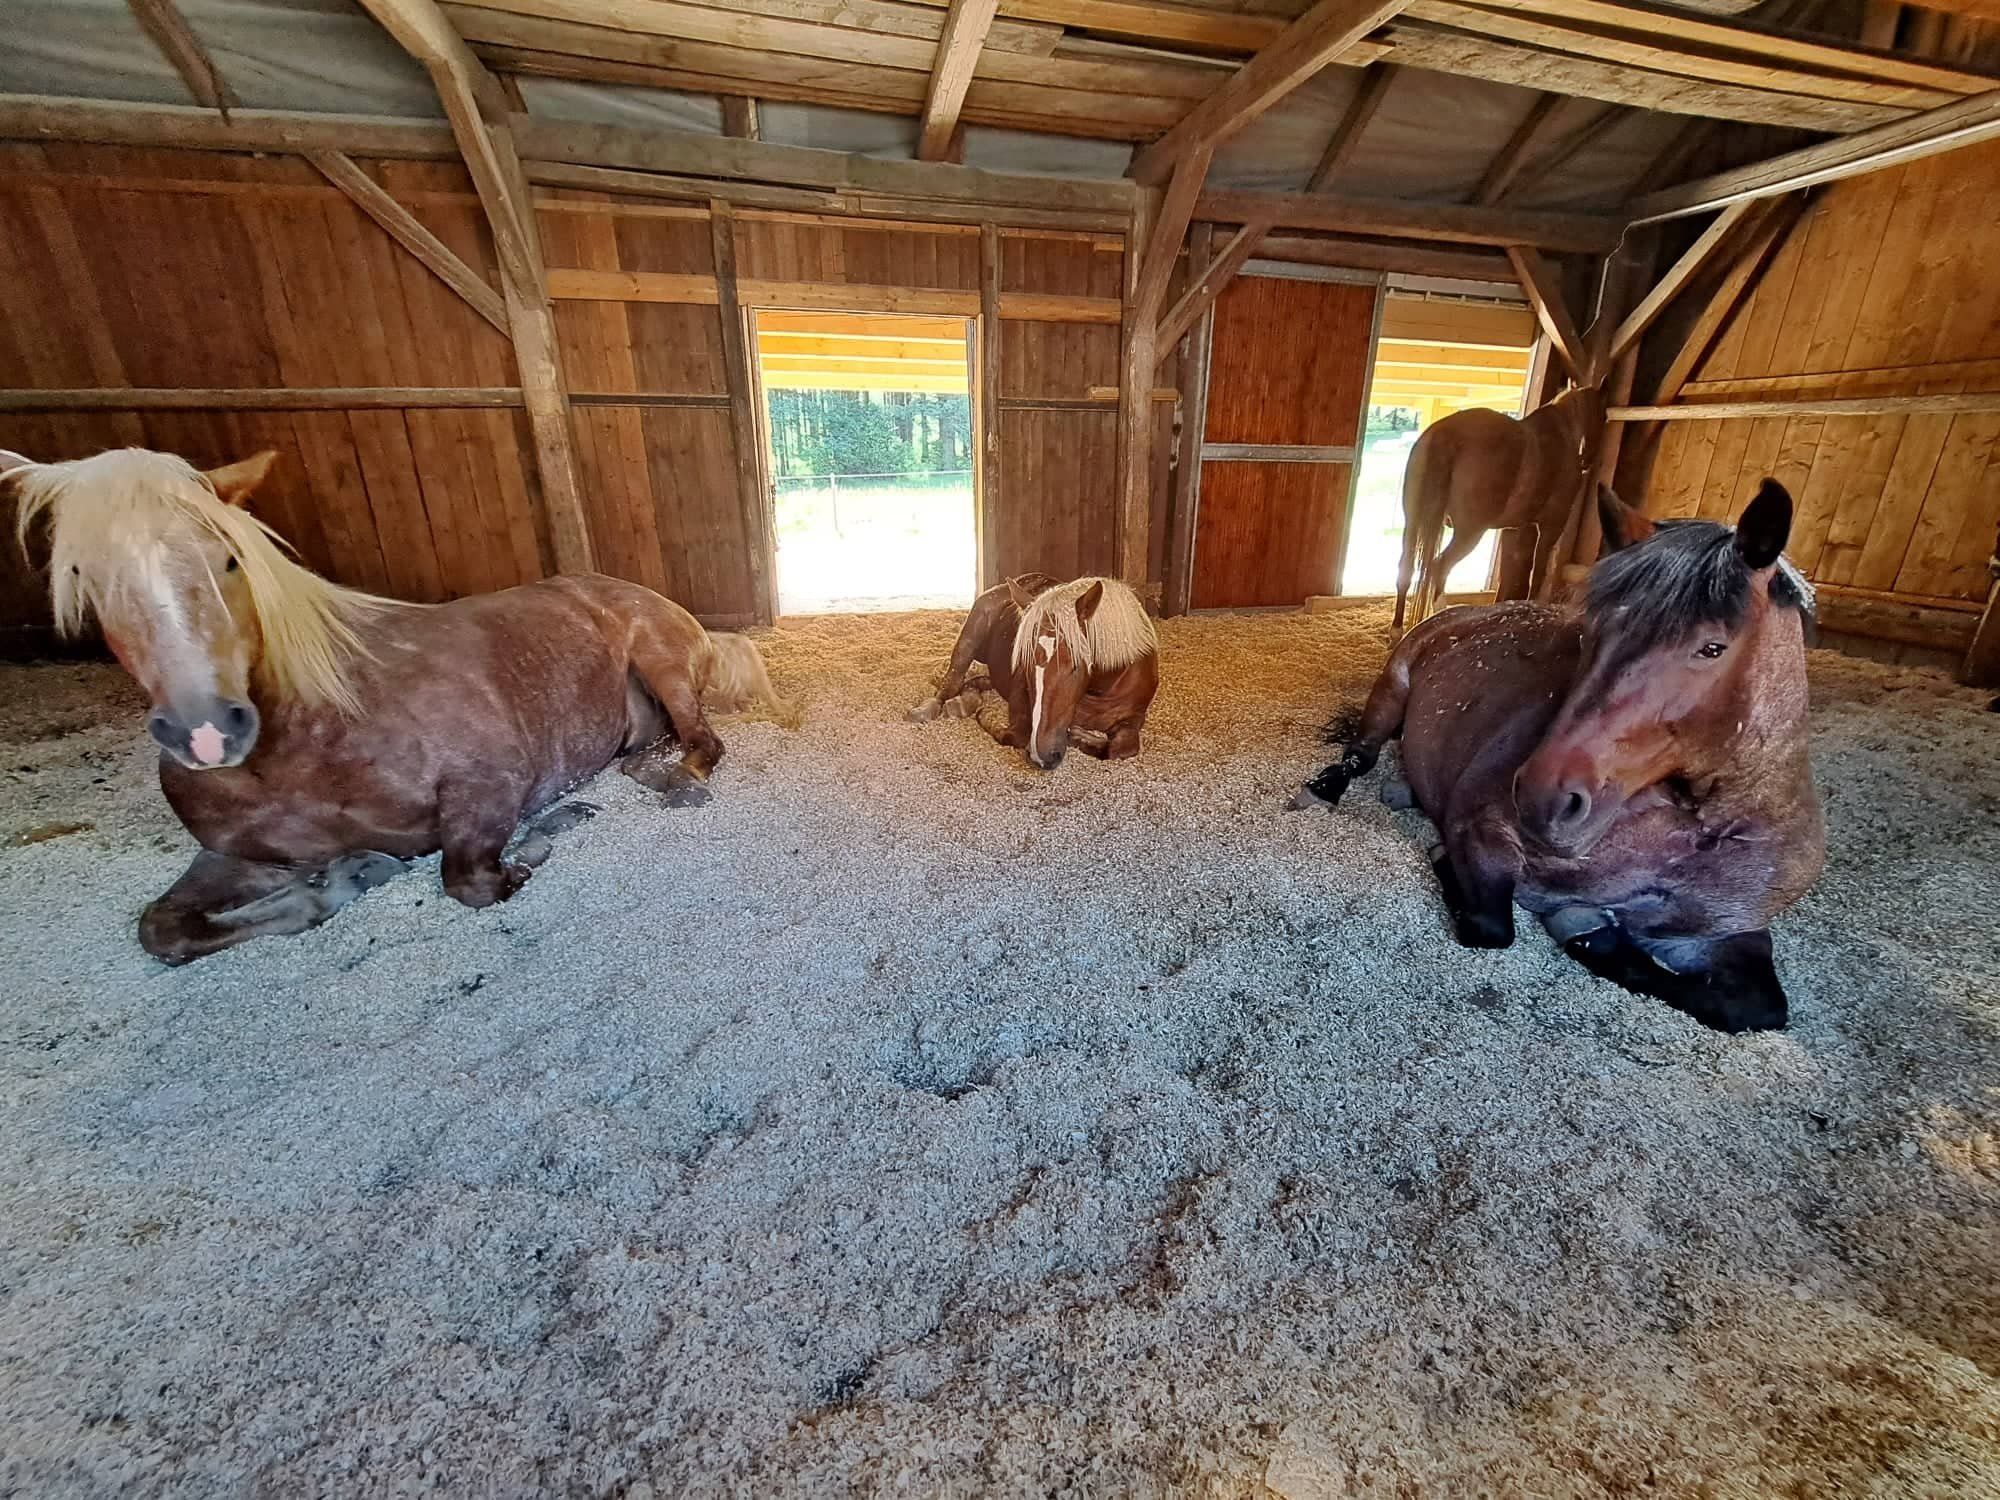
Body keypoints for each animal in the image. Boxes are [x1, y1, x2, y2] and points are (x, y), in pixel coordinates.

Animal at [5, 446, 785, 964]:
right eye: (81, 575)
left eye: (229, 558)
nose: (204, 733)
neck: (307, 746)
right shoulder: (234, 855)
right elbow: (162, 929)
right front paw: (340, 881)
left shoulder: (487, 787)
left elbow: (470, 878)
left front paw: (536, 843)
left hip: (662, 661)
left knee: (703, 744)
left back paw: (675, 780)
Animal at [912, 574, 1159, 770]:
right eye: (1025, 663)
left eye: (1075, 665)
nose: (1044, 756)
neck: (1103, 688)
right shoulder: (1020, 695)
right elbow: (1015, 735)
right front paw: (988, 717)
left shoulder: (1135, 717)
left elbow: (1120, 749)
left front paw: (1081, 736)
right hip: (969, 639)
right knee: (951, 683)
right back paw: (928, 710)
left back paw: (964, 702)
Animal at [1296, 478, 1824, 1033]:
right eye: (1591, 632)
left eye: (1713, 648)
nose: (1542, 794)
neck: (1685, 827)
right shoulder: (1482, 833)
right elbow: (1490, 924)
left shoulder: (1721, 931)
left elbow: (1755, 1005)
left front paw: (1594, 934)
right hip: (1391, 690)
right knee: (1361, 753)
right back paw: (1326, 789)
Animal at [1393, 382, 1604, 632]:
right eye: (1604, 415)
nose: (1588, 461)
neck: (1563, 435)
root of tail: (1446, 434)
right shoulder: (1551, 526)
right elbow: (1537, 571)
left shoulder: (1512, 529)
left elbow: (1507, 573)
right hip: (1469, 533)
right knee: (1439, 568)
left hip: (1412, 522)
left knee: (1406, 569)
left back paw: (1397, 629)